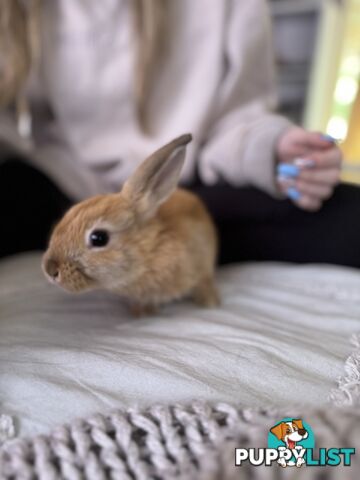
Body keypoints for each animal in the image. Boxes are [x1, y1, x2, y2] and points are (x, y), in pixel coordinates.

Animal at [41, 135, 219, 316]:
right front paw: (141, 311)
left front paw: (210, 302)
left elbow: (204, 281)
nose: (50, 269)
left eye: (98, 238)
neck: (151, 252)